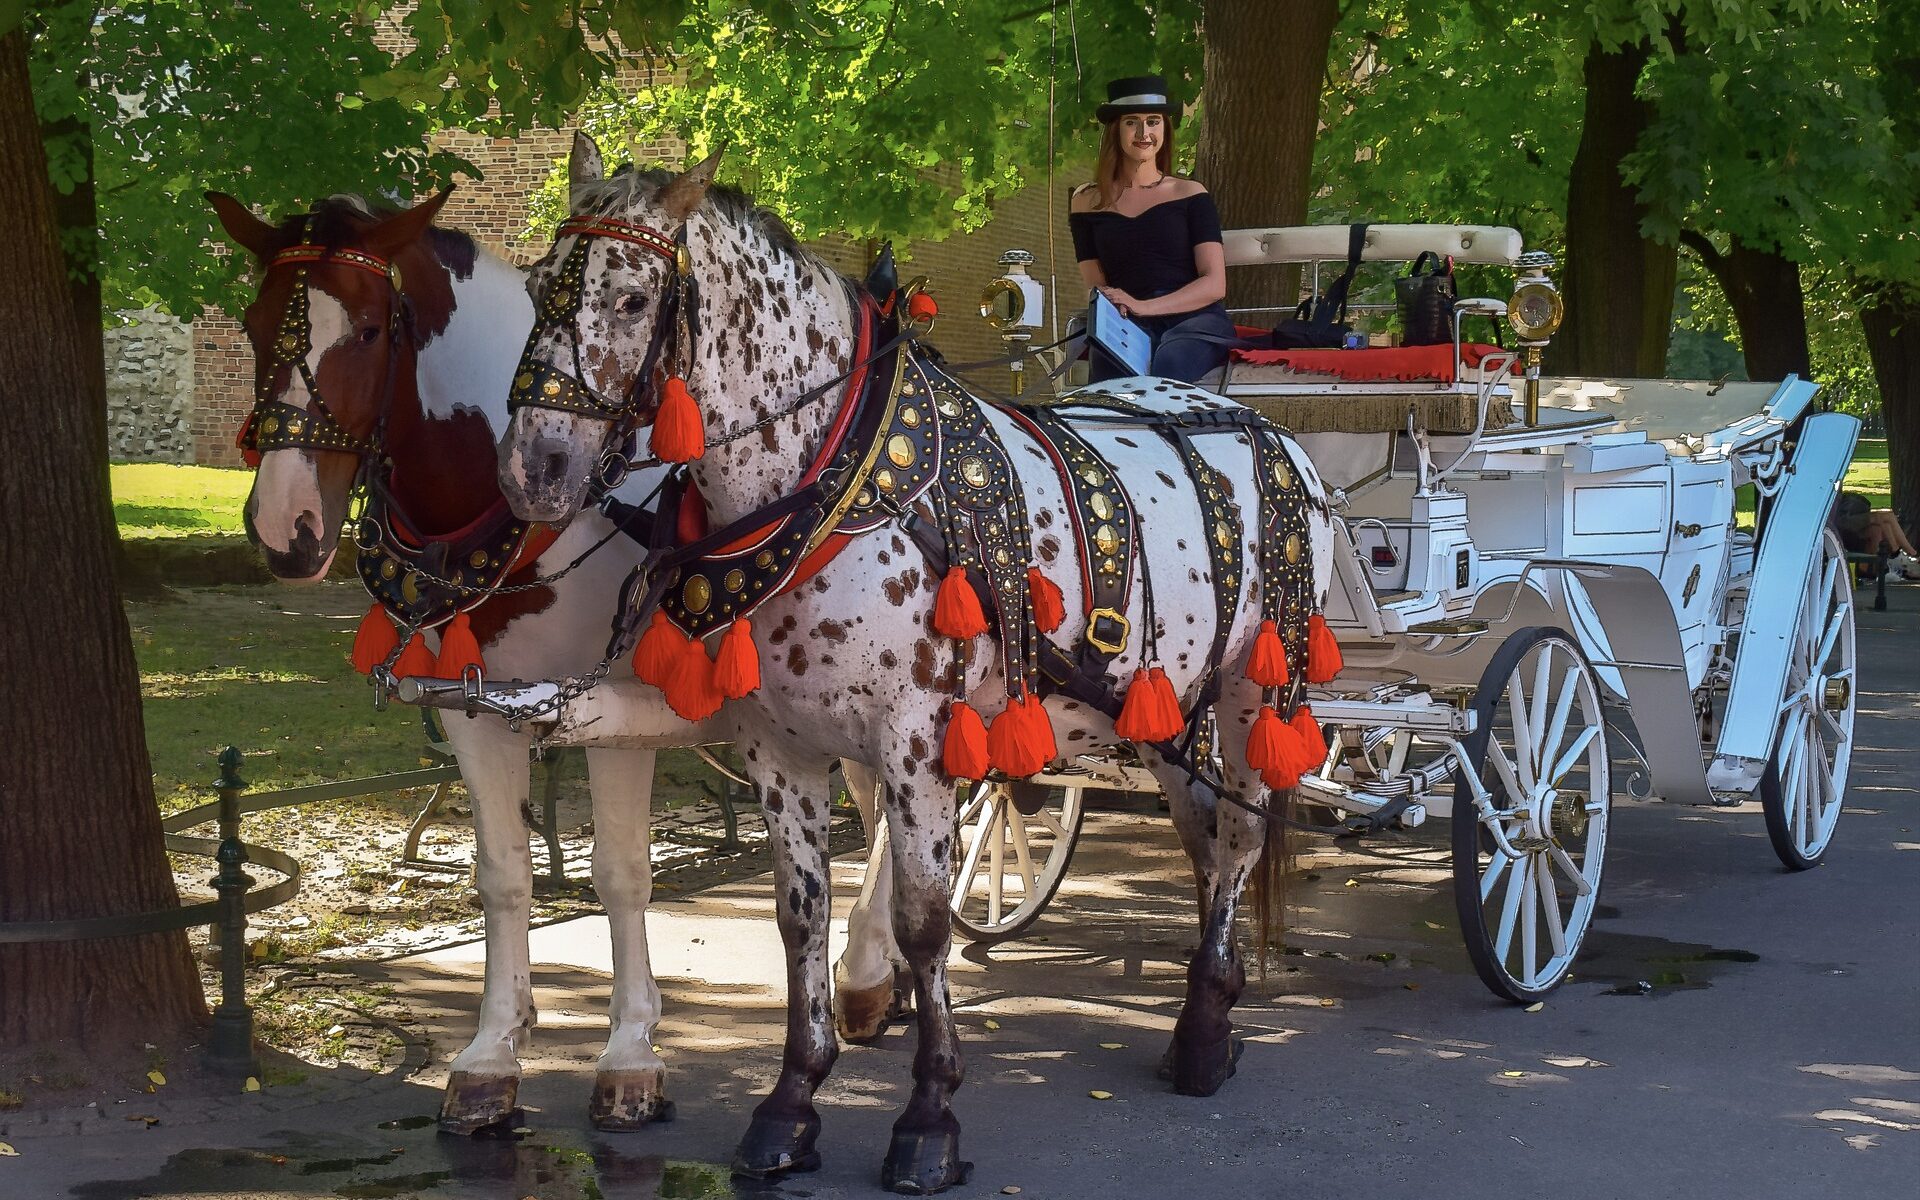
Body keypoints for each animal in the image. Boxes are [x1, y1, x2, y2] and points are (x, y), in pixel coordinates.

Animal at [206, 187, 910, 1128]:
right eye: (251, 323)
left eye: (367, 329)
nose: (286, 525)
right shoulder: (475, 711)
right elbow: (503, 874)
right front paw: (491, 1054)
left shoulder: (612, 716)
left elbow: (621, 874)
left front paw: (631, 1054)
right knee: (875, 812)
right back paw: (878, 970)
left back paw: (867, 968)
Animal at [491, 133, 1336, 1190]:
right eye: (536, 287)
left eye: (636, 300)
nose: (532, 470)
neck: (829, 477)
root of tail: (1272, 435)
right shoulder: (780, 747)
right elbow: (799, 916)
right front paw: (791, 1102)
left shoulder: (918, 740)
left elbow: (925, 922)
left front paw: (930, 1117)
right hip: (1160, 704)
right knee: (1203, 835)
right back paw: (1201, 1020)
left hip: (1255, 687)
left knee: (1243, 830)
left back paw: (1209, 1030)